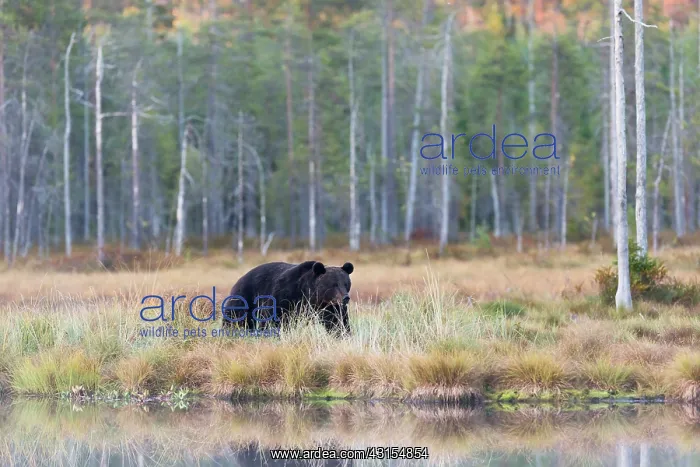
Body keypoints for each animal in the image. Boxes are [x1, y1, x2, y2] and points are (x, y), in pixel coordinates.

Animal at [222, 260, 354, 335]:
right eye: (334, 284)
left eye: (346, 284)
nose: (346, 298)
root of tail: (238, 281)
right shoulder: (285, 296)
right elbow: (274, 318)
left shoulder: (329, 307)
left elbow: (337, 322)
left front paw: (343, 334)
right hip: (244, 300)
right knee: (234, 318)